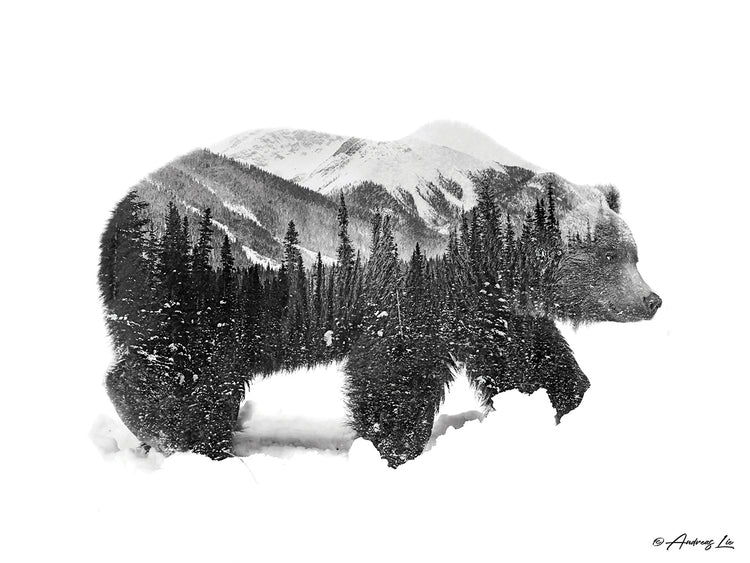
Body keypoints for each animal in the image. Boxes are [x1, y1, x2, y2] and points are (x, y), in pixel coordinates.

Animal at [99, 127, 661, 467]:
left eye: (634, 252)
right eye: (611, 254)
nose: (652, 300)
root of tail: (118, 217)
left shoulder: (483, 301)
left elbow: (524, 358)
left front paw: (569, 402)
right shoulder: (411, 276)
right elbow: (396, 370)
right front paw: (394, 444)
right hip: (203, 273)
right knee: (178, 363)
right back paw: (178, 433)